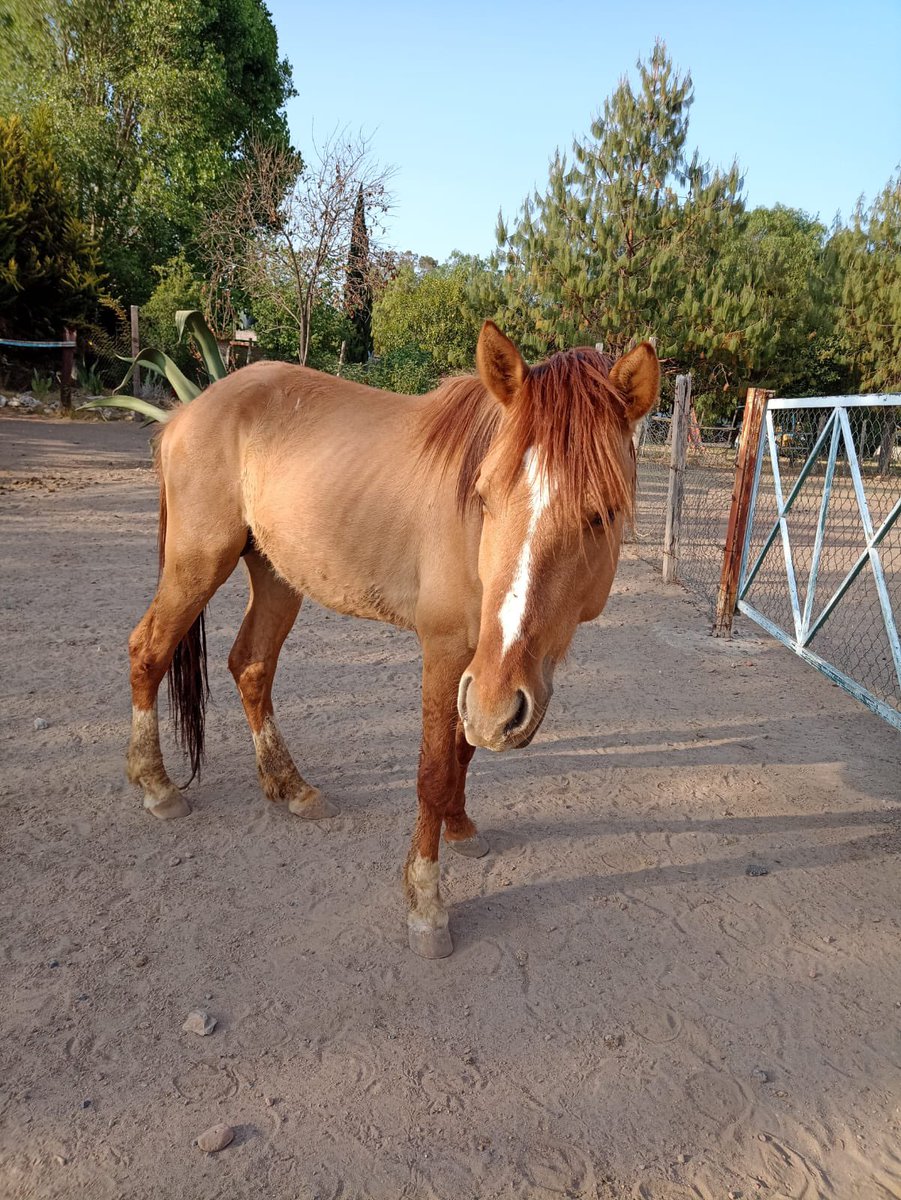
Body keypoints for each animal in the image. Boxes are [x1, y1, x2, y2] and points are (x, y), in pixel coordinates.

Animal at [126, 321, 659, 957]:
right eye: (485, 497)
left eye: (602, 514)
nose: (501, 708)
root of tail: (189, 409)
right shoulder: (449, 652)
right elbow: (433, 769)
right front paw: (426, 905)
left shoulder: (480, 672)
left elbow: (463, 750)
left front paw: (461, 828)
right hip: (197, 562)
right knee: (148, 652)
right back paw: (157, 787)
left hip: (277, 575)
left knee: (250, 666)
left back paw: (292, 787)